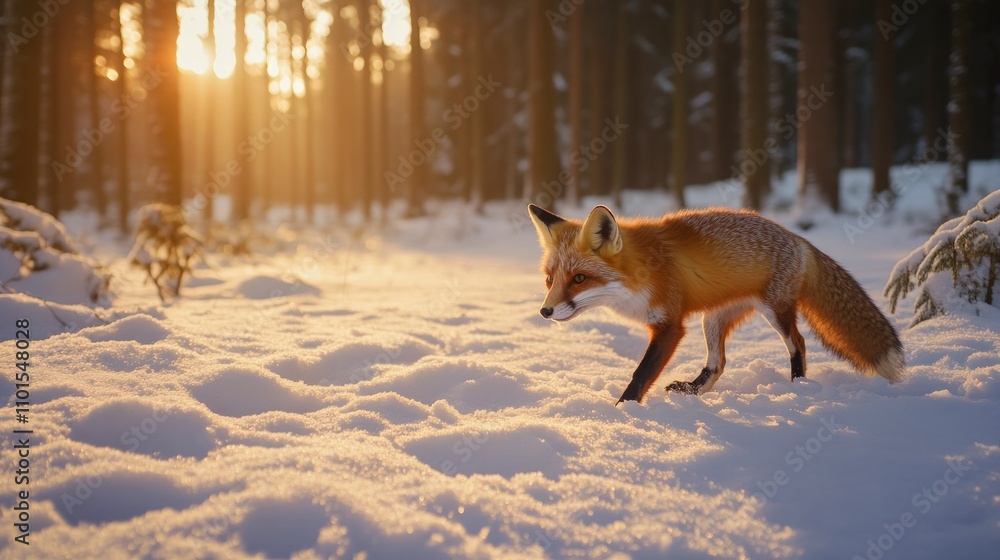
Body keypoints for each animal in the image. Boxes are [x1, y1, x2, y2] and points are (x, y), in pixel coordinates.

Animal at [528, 203, 904, 404]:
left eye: (579, 279)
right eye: (550, 279)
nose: (545, 311)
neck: (641, 273)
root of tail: (797, 238)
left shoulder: (670, 325)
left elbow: (641, 373)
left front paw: (623, 411)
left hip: (776, 312)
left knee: (798, 343)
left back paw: (797, 385)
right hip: (712, 320)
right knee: (719, 363)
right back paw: (693, 390)